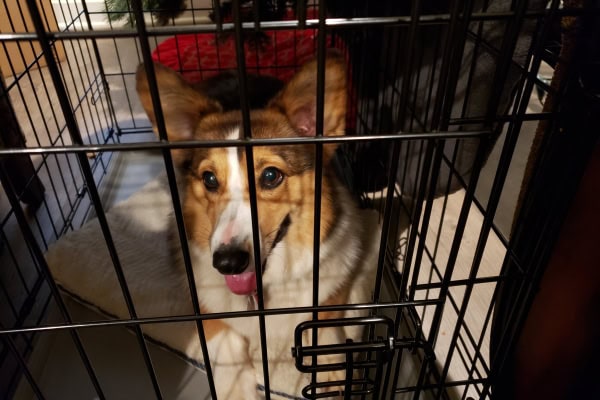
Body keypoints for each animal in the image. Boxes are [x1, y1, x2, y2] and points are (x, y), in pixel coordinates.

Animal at [137, 52, 380, 396]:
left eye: (270, 176)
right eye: (209, 179)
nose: (227, 263)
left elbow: (324, 332)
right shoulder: (210, 314)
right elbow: (230, 363)